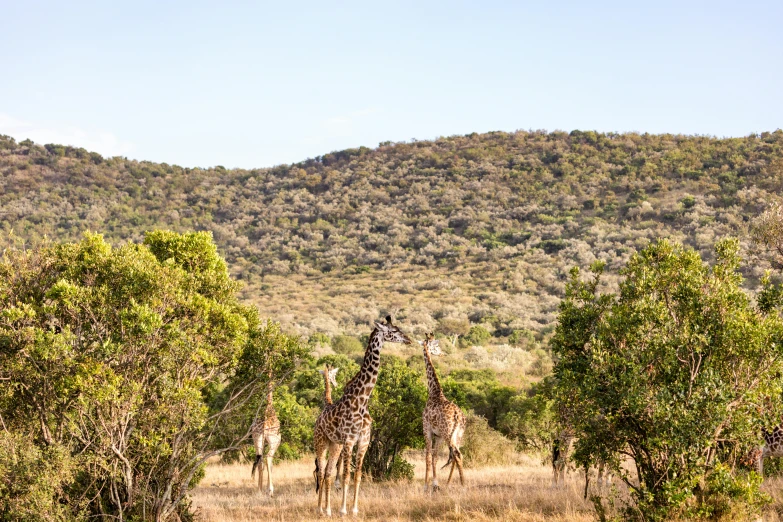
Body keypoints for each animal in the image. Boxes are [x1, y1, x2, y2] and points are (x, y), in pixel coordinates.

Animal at [312, 314, 414, 512]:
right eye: (394, 330)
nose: (408, 339)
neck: (362, 400)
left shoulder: (364, 441)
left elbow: (357, 475)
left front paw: (354, 509)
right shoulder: (350, 440)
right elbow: (346, 475)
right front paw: (343, 510)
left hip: (334, 445)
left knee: (328, 472)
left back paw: (327, 510)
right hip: (320, 442)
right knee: (320, 472)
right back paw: (319, 508)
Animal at [422, 332, 466, 490]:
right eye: (436, 347)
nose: (442, 353)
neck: (434, 391)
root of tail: (458, 416)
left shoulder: (427, 429)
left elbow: (428, 455)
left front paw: (426, 485)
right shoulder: (438, 435)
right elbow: (434, 456)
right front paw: (435, 484)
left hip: (448, 434)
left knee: (456, 454)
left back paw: (463, 484)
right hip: (458, 435)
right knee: (458, 454)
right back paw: (452, 483)